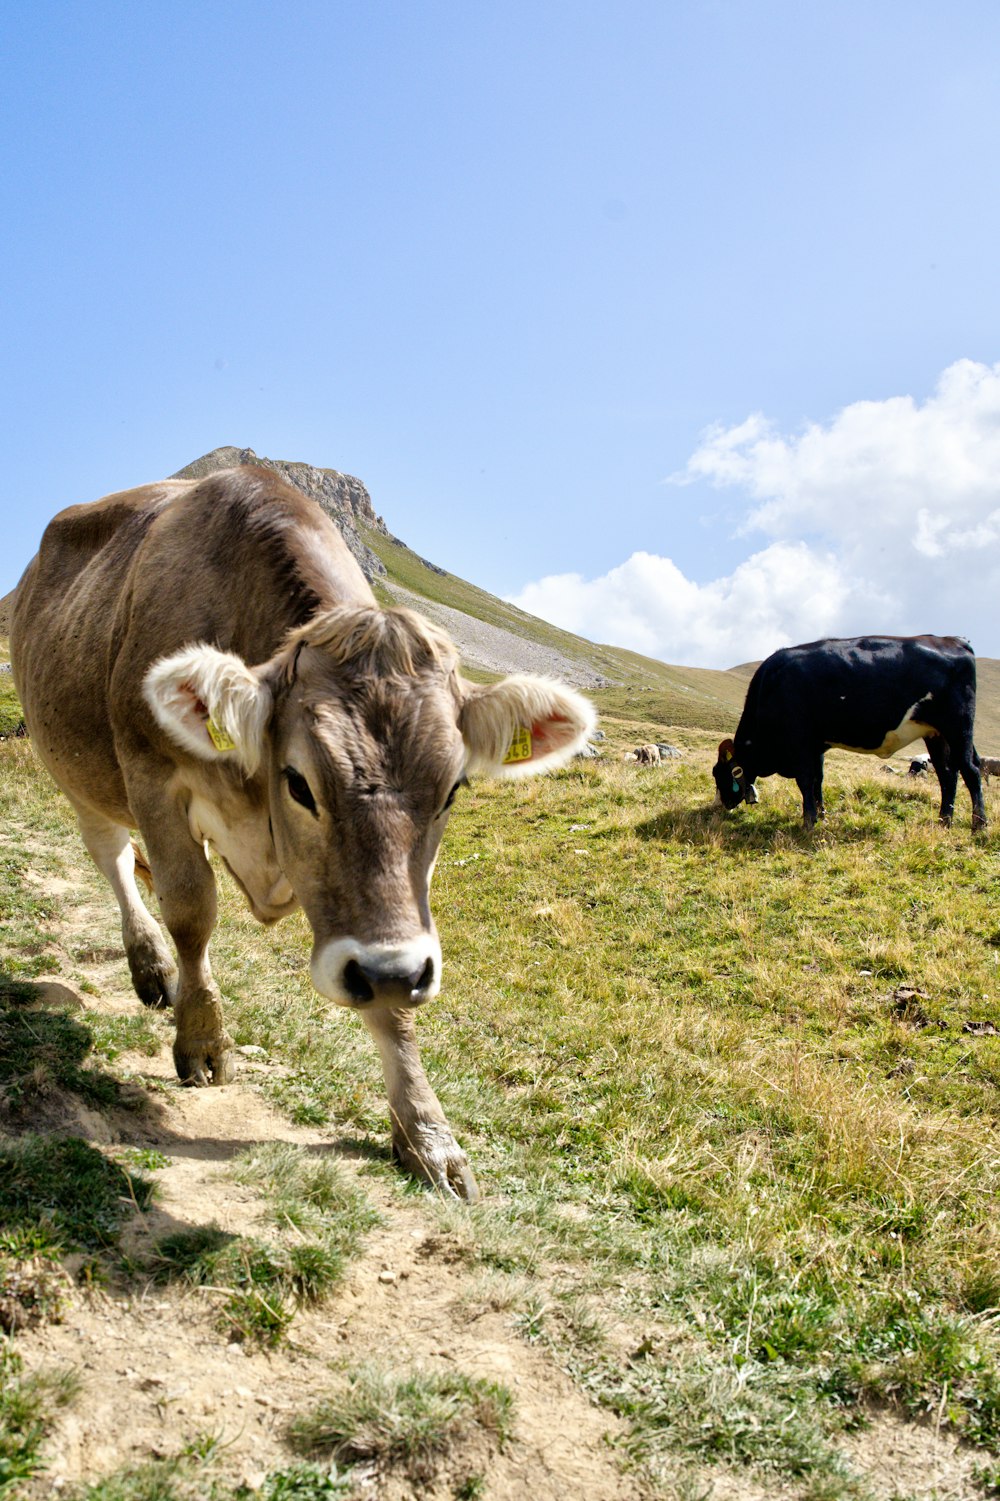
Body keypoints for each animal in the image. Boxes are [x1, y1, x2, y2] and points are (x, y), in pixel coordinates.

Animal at [11, 465, 594, 1194]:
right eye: (298, 782)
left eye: (453, 789)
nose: (392, 968)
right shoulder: (153, 778)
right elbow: (191, 910)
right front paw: (202, 1039)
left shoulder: (387, 933)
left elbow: (392, 1001)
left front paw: (427, 1133)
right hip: (75, 768)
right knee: (113, 858)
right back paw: (150, 965)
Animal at [711, 633, 984, 834]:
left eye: (719, 773)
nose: (719, 805)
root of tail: (953, 640)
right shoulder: (816, 745)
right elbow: (818, 780)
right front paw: (821, 814)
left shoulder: (800, 741)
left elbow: (805, 781)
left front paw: (808, 822)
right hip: (936, 734)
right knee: (947, 775)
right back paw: (943, 822)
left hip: (958, 727)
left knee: (970, 771)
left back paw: (979, 825)